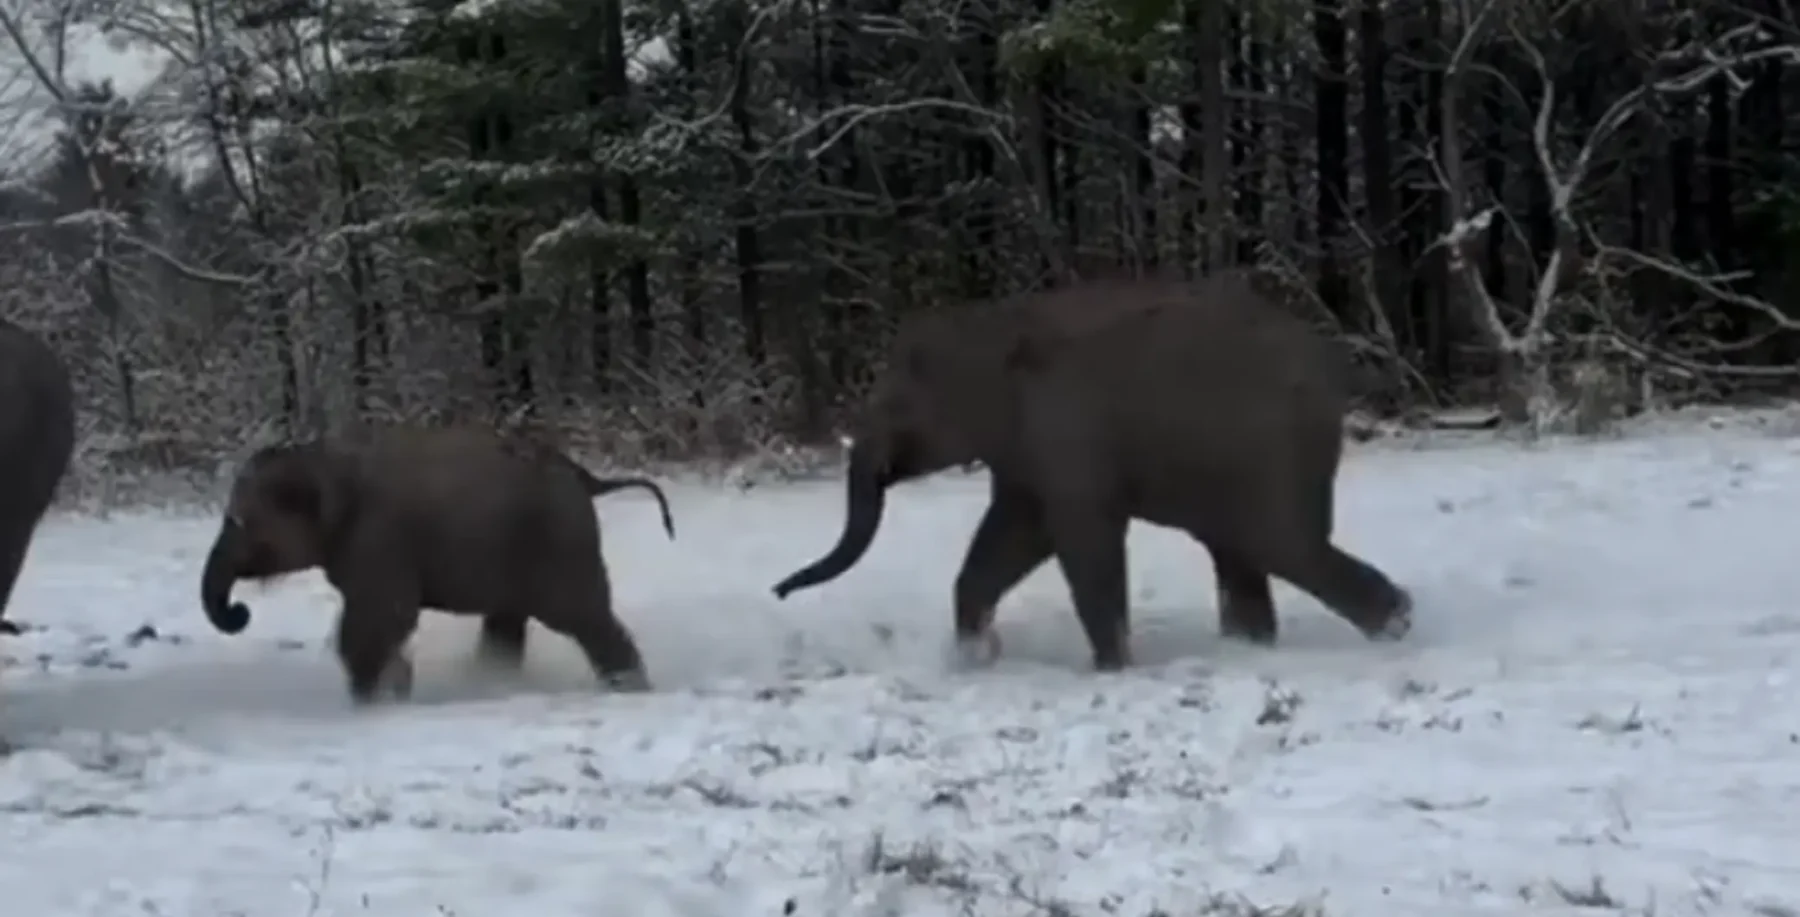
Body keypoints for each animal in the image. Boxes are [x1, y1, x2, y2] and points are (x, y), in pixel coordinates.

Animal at [199, 425, 675, 704]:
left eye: (242, 523)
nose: (239, 612)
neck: (321, 461)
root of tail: (586, 477)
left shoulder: (378, 538)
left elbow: (380, 618)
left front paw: (371, 701)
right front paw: (391, 692)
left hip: (560, 542)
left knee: (583, 617)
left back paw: (630, 689)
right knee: (509, 622)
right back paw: (493, 682)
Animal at [770, 271, 1413, 671]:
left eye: (900, 405)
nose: (778, 590)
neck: (996, 323)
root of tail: (1333, 371)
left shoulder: (1069, 427)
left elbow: (1081, 539)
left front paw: (1111, 668)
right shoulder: (1028, 450)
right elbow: (1011, 536)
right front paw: (976, 657)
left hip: (1271, 449)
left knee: (1280, 544)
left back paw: (1395, 625)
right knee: (1241, 551)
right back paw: (1254, 647)